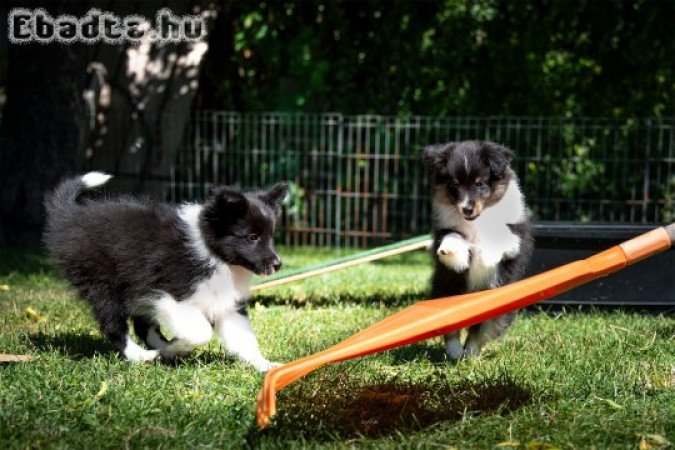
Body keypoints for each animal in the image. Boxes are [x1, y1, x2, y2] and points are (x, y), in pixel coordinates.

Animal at [44, 171, 288, 370]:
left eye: (270, 235)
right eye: (252, 237)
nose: (277, 264)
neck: (214, 255)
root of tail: (70, 217)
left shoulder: (228, 305)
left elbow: (244, 338)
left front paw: (265, 365)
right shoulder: (169, 296)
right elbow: (202, 332)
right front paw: (177, 348)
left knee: (143, 326)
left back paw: (160, 349)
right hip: (101, 284)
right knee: (114, 325)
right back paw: (140, 355)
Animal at [422, 139, 532, 360]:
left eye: (480, 183)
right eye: (454, 185)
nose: (466, 209)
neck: (477, 221)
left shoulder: (516, 236)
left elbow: (500, 236)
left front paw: (486, 257)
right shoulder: (445, 229)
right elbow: (452, 237)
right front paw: (450, 251)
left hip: (498, 311)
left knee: (478, 333)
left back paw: (470, 355)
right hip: (445, 293)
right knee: (452, 331)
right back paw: (455, 353)